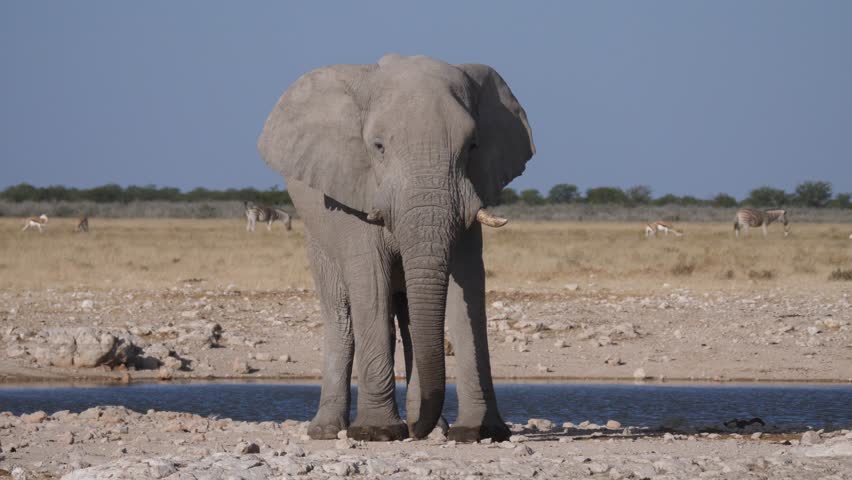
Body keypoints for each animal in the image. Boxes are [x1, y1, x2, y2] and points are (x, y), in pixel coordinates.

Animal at [257, 54, 534, 442]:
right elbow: (371, 279)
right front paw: (378, 431)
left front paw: (479, 432)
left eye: (472, 146)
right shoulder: (353, 190)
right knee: (343, 314)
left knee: (407, 320)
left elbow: (468, 286)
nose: (415, 431)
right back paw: (328, 430)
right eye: (378, 147)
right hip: (316, 237)